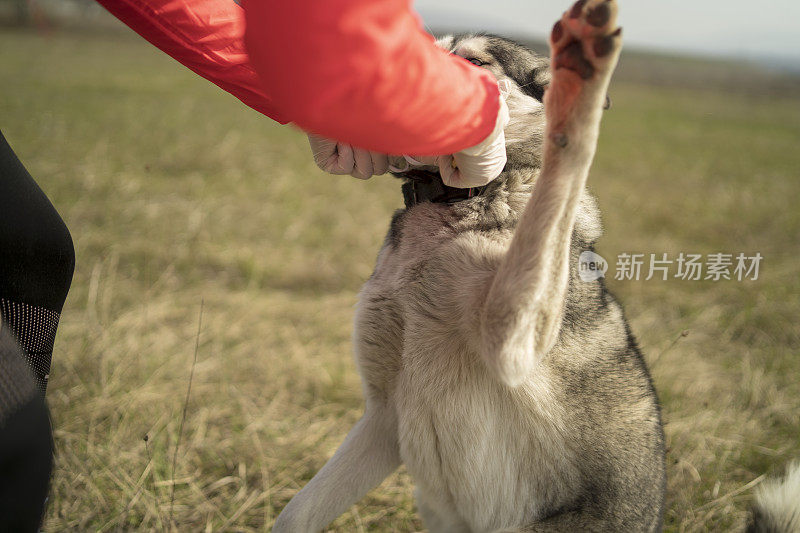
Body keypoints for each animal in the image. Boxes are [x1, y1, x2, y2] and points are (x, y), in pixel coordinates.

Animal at [274, 2, 800, 528]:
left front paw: (584, 76)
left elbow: (566, 164)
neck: (463, 200)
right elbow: (295, 515)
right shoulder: (384, 417)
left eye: (473, 63)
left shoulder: (514, 343)